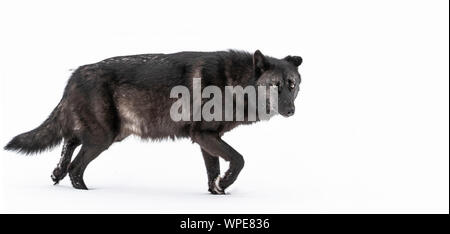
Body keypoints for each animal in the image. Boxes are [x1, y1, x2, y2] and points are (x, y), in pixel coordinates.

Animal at [4, 50, 302, 195]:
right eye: (274, 86)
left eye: (292, 84)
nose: (291, 111)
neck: (234, 83)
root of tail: (75, 74)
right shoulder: (204, 135)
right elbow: (238, 160)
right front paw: (224, 184)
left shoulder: (206, 138)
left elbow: (213, 170)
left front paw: (218, 191)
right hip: (104, 138)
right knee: (76, 167)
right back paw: (87, 194)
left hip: (110, 133)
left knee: (70, 141)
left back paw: (56, 173)